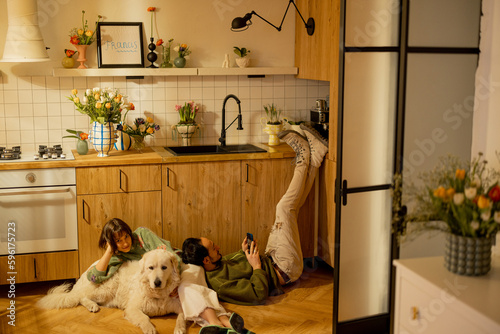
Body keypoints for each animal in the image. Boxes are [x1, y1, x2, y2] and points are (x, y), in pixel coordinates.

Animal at [37, 249, 186, 334]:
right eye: (151, 268)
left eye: (164, 267)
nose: (157, 282)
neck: (157, 294)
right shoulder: (132, 309)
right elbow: (144, 318)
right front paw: (149, 329)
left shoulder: (180, 306)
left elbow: (181, 318)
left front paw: (180, 329)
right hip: (107, 288)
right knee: (81, 296)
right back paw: (92, 305)